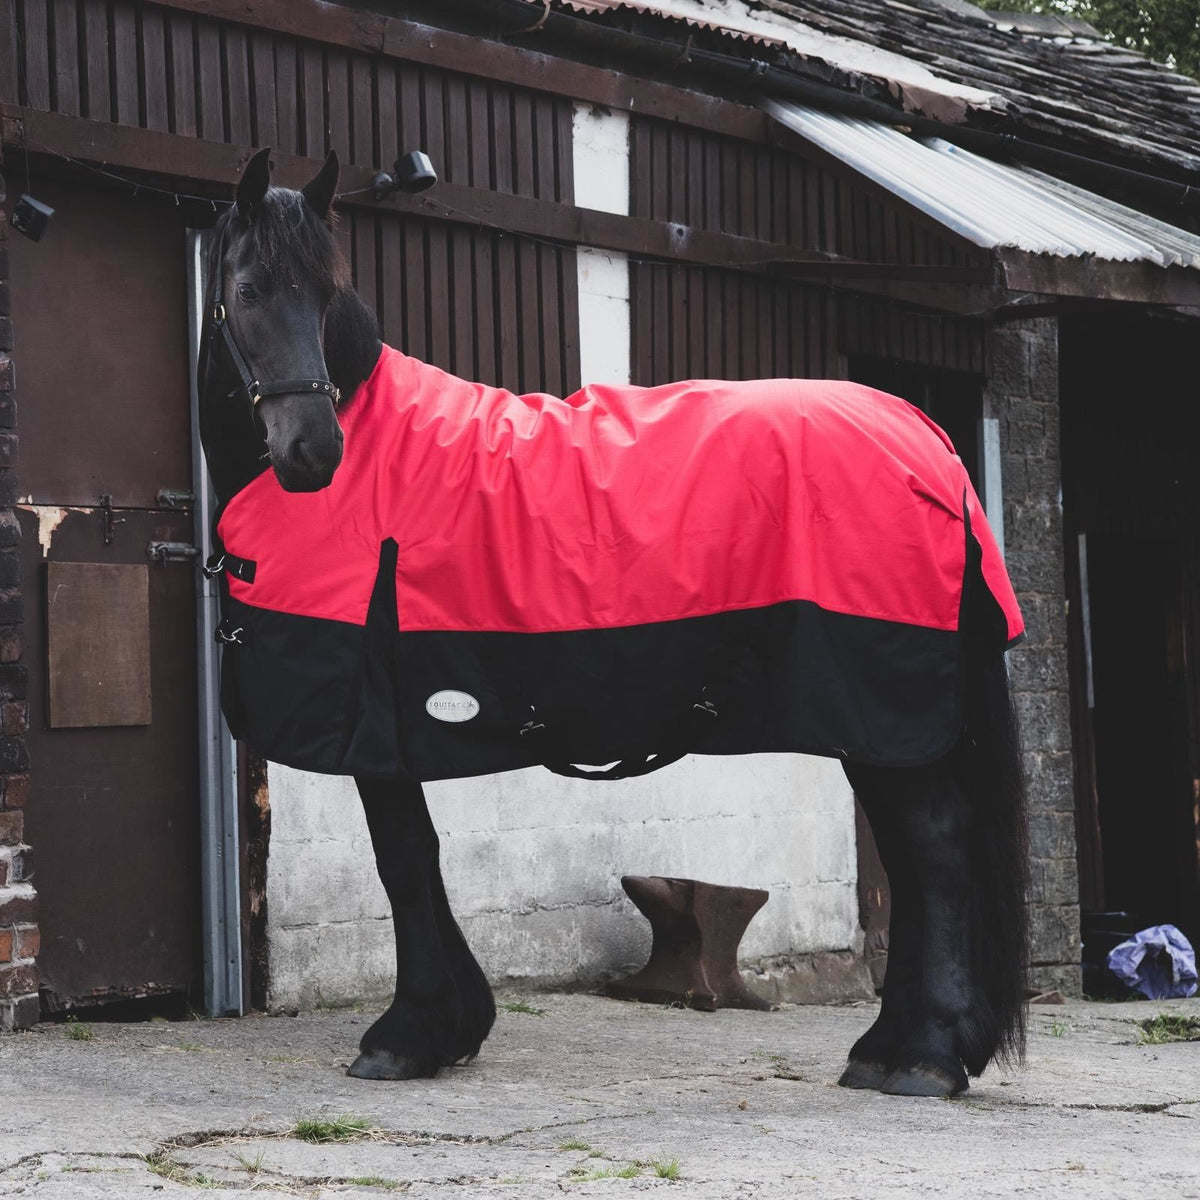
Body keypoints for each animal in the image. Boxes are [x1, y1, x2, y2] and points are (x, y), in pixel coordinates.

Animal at [197, 147, 1029, 1098]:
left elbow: (404, 857)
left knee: (935, 849)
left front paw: (408, 1033)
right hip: (885, 726)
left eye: (329, 291)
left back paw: (924, 1055)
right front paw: (452, 1023)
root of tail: (927, 439)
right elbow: (418, 855)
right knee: (916, 852)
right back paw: (891, 1048)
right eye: (249, 290)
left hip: (885, 708)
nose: (313, 452)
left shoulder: (379, 720)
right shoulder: (395, 726)